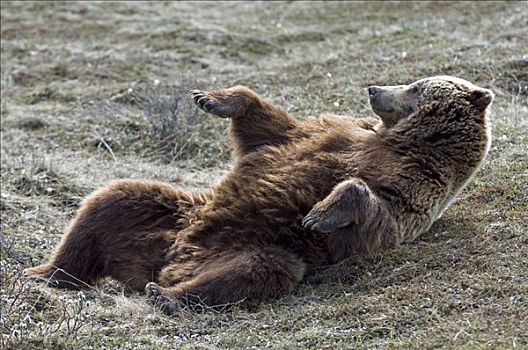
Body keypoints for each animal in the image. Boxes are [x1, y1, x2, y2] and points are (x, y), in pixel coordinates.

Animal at [25, 76, 496, 312]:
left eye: (417, 85)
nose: (373, 88)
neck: (405, 140)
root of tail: (171, 261)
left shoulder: (415, 186)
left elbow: (374, 215)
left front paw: (320, 212)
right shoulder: (334, 133)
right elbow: (269, 127)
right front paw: (210, 99)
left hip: (258, 247)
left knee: (257, 270)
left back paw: (169, 297)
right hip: (171, 215)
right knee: (110, 203)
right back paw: (42, 273)